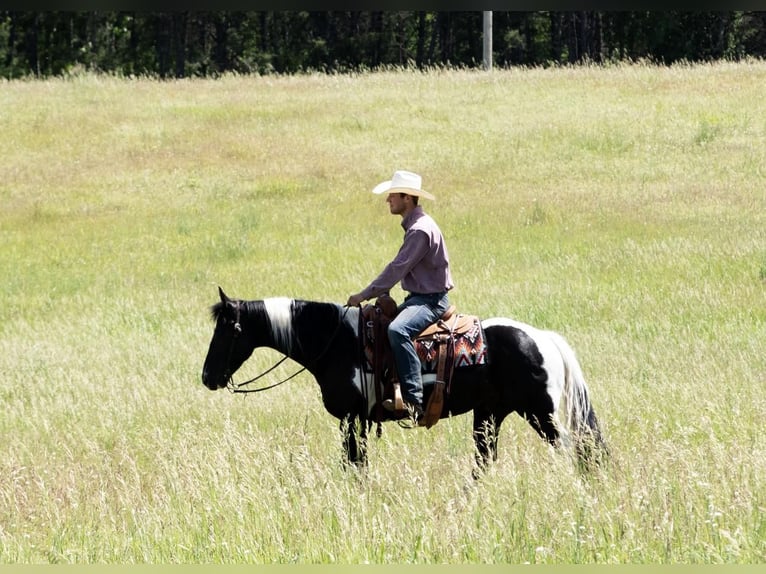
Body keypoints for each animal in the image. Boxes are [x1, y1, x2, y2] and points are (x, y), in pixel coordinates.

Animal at [201, 288, 608, 476]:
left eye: (227, 331)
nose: (207, 377)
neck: (337, 341)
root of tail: (543, 339)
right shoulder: (358, 421)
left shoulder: (352, 418)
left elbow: (354, 465)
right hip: (489, 415)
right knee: (483, 463)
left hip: (543, 414)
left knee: (577, 452)